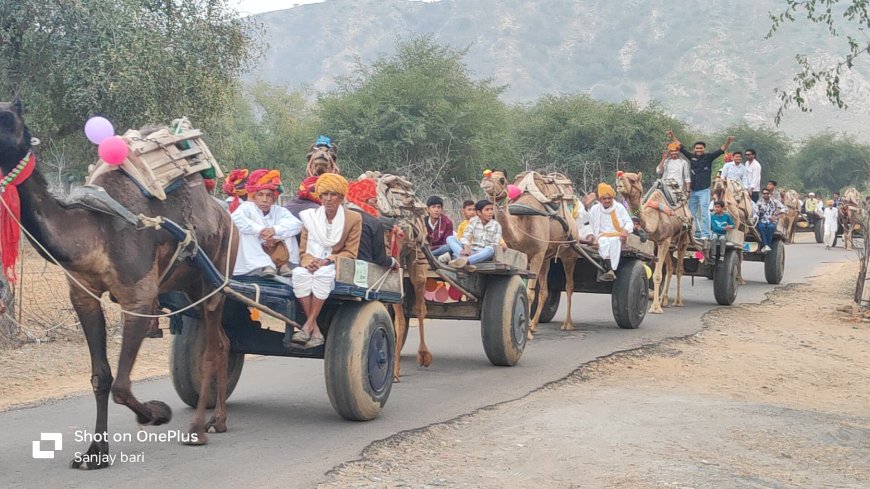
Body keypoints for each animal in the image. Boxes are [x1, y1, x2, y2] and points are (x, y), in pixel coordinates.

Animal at [0, 97, 238, 468]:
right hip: (190, 287)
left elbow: (122, 386)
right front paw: (94, 453)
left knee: (211, 350)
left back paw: (198, 429)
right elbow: (102, 377)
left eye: (7, 119)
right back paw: (219, 420)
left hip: (218, 276)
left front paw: (157, 413)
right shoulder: (83, 295)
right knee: (225, 343)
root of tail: (227, 216)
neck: (93, 230)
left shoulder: (138, 297)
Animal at [480, 170, 584, 334]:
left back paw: (567, 324)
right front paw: (528, 326)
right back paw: (534, 324)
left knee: (569, 286)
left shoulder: (537, 255)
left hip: (569, 253)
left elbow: (529, 293)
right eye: (485, 174)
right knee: (545, 290)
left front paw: (527, 332)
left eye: (502, 179)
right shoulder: (521, 256)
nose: (486, 181)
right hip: (547, 258)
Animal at [616, 172, 692, 312]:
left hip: (683, 238)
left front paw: (655, 308)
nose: (619, 177)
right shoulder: (655, 242)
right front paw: (657, 303)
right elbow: (655, 272)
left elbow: (657, 275)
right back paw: (664, 299)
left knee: (679, 269)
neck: (654, 220)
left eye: (633, 179)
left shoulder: (666, 239)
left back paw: (677, 301)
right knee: (670, 267)